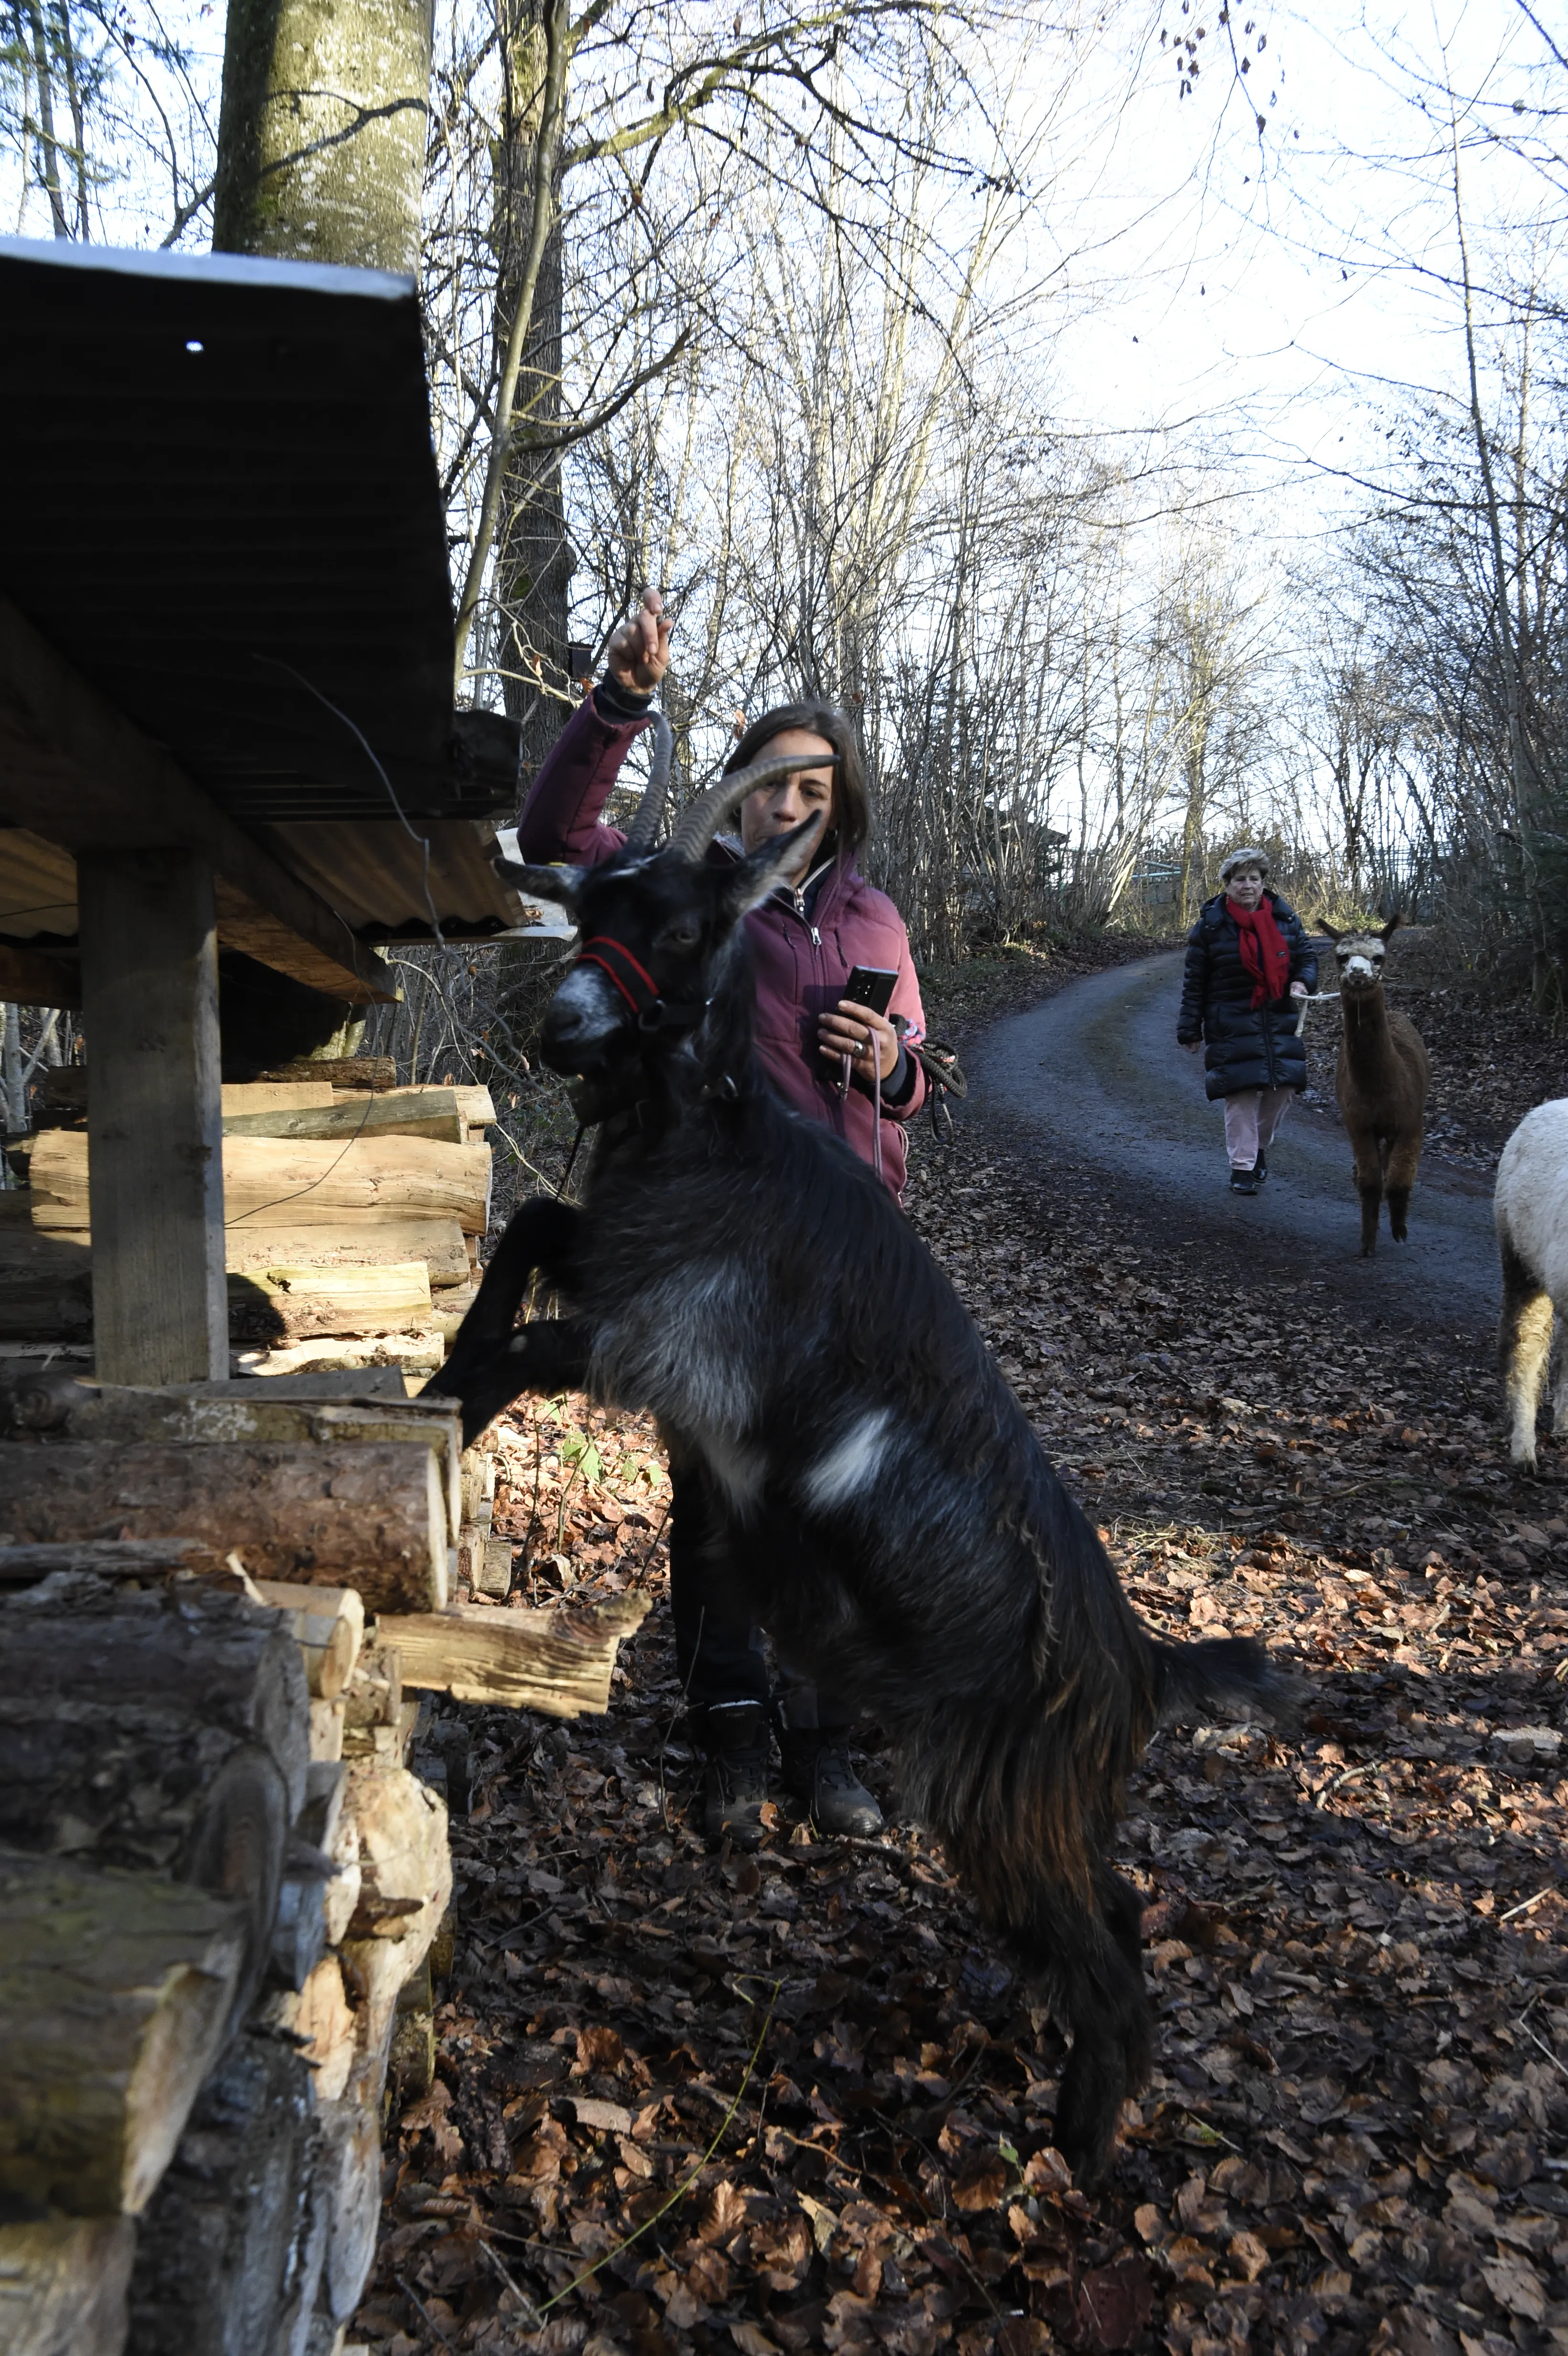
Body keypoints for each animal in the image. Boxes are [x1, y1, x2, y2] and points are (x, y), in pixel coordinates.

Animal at [421, 740, 1290, 2186]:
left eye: (683, 927)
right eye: (589, 908)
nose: (563, 1028)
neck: (724, 1141)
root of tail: (1140, 1665)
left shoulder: (662, 1341)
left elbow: (527, 1339)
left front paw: (437, 1405)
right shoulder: (625, 1271)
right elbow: (537, 1220)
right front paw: (445, 1355)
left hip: (1003, 1798)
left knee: (1109, 1963)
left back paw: (1079, 2147)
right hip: (1042, 1809)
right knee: (1114, 1916)